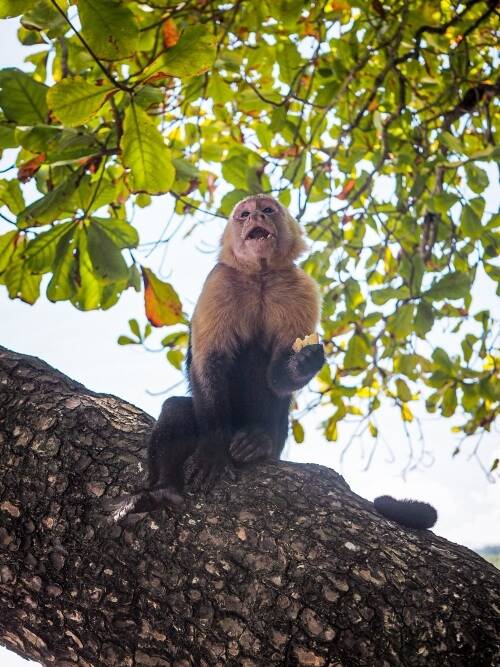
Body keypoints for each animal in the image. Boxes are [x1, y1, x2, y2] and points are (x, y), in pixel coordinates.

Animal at [110, 194, 438, 532]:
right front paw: (213, 449)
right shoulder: (219, 282)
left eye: (267, 210)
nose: (256, 215)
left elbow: (277, 376)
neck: (260, 276)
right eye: (244, 215)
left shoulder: (301, 286)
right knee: (177, 410)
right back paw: (163, 490)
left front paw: (304, 363)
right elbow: (208, 362)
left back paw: (260, 440)